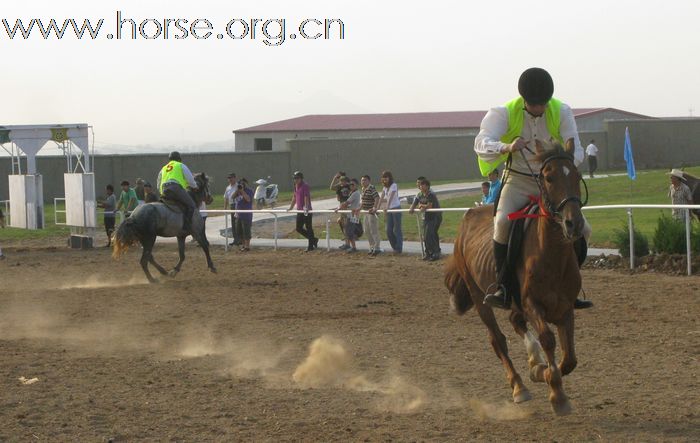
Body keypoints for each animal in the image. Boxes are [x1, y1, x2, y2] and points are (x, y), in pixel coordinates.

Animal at [448, 143, 584, 416]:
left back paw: (534, 363)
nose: (573, 224)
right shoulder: (533, 305)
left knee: (515, 322)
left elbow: (569, 359)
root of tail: (469, 215)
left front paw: (541, 371)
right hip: (479, 298)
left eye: (576, 175)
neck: (551, 254)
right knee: (498, 340)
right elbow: (548, 340)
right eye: (549, 177)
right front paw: (556, 393)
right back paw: (519, 387)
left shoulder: (565, 308)